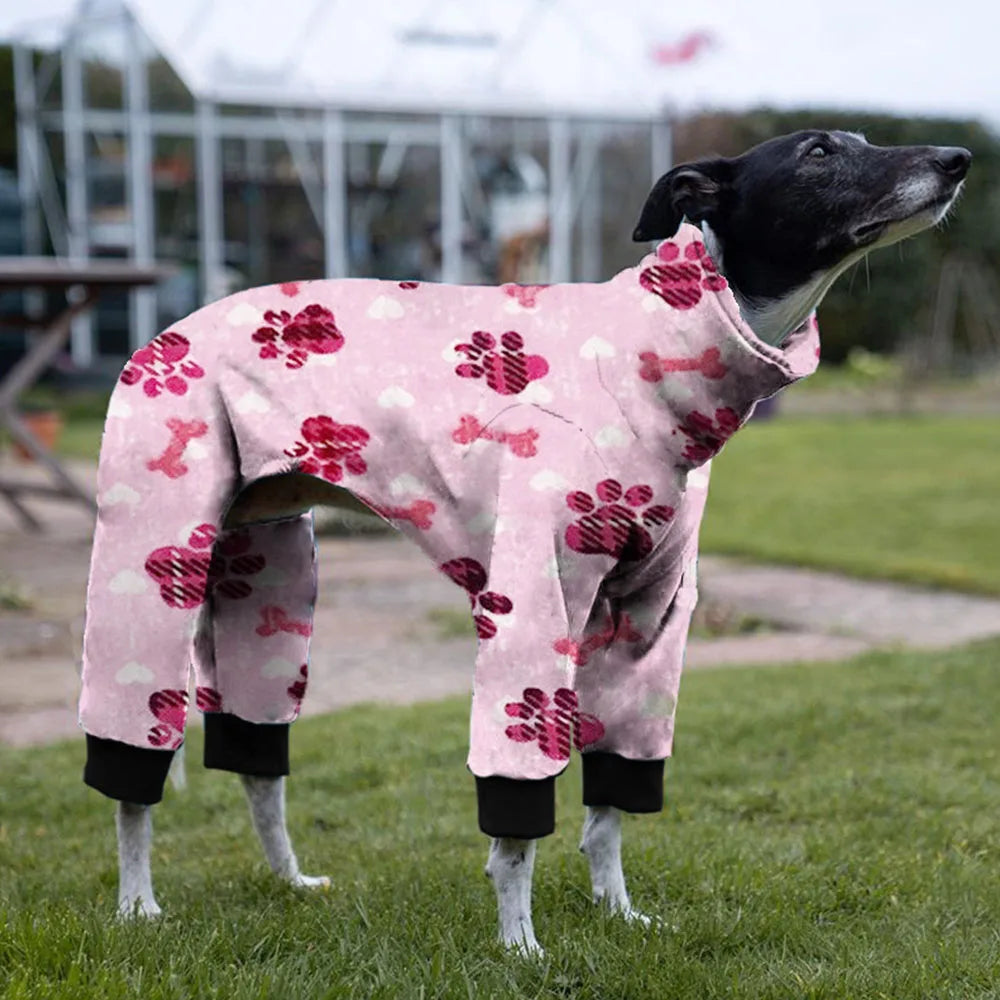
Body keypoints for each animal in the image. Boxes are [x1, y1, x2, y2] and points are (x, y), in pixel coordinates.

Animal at [78, 131, 968, 952]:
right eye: (819, 152)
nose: (958, 159)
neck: (643, 362)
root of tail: (166, 333)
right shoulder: (531, 606)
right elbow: (517, 825)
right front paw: (519, 945)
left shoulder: (649, 621)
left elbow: (609, 808)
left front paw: (619, 913)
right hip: (156, 568)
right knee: (133, 773)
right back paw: (136, 904)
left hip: (268, 575)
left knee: (257, 761)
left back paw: (289, 881)